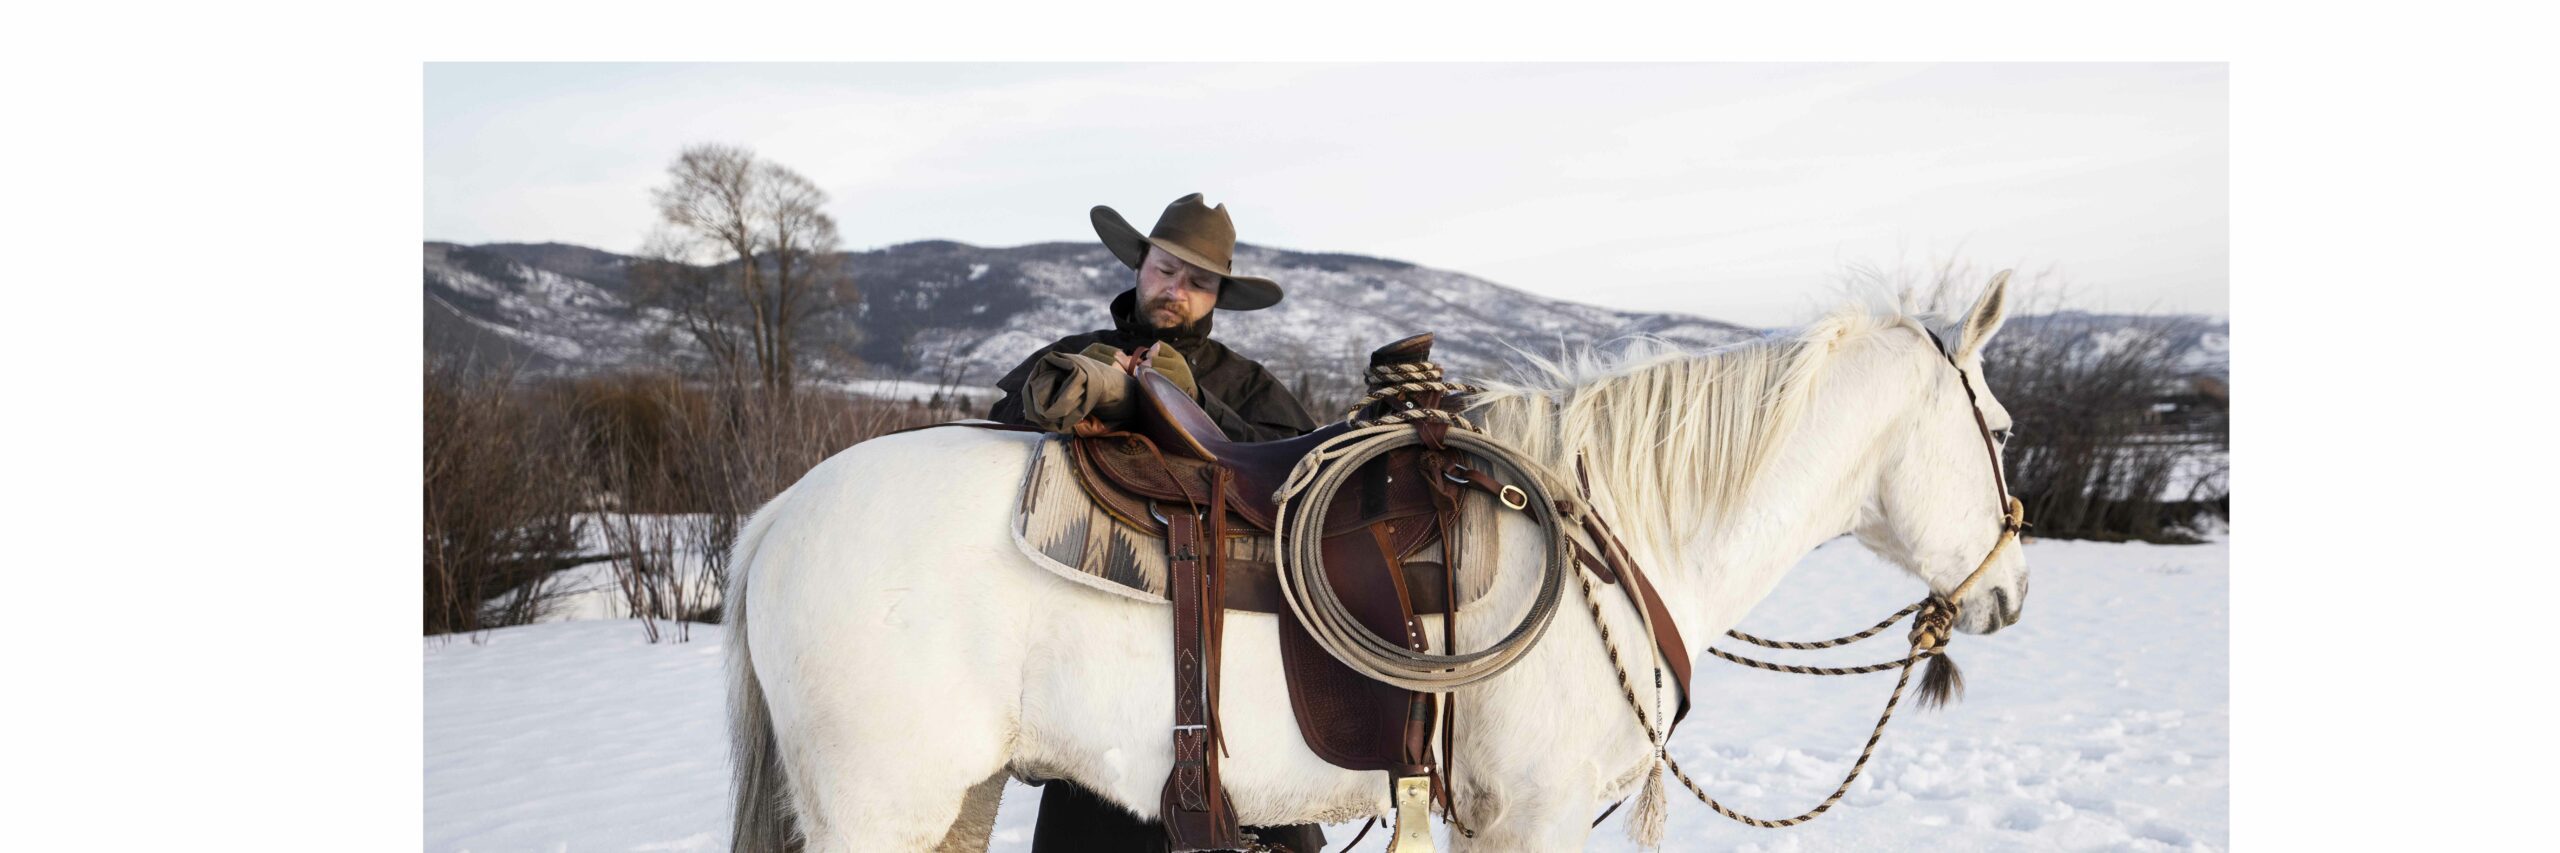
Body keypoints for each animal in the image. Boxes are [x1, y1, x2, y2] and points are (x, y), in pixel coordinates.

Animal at [721, 281, 2017, 845]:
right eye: (2001, 430)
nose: (2009, 588)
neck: (1615, 531)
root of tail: (777, 513)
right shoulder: (1537, 814)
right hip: (879, 804)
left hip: (962, 793)